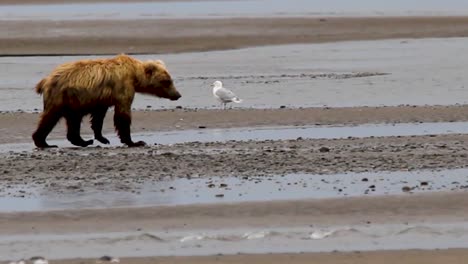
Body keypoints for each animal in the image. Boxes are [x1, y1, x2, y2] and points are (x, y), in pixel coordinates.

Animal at [32, 54, 181, 148]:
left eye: (170, 80)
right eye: (167, 81)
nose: (178, 95)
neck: (134, 75)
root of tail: (45, 80)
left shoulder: (102, 98)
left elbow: (98, 117)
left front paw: (102, 138)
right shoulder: (122, 88)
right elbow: (122, 115)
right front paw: (134, 142)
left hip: (74, 101)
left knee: (73, 120)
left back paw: (84, 141)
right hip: (62, 96)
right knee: (51, 117)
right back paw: (45, 143)